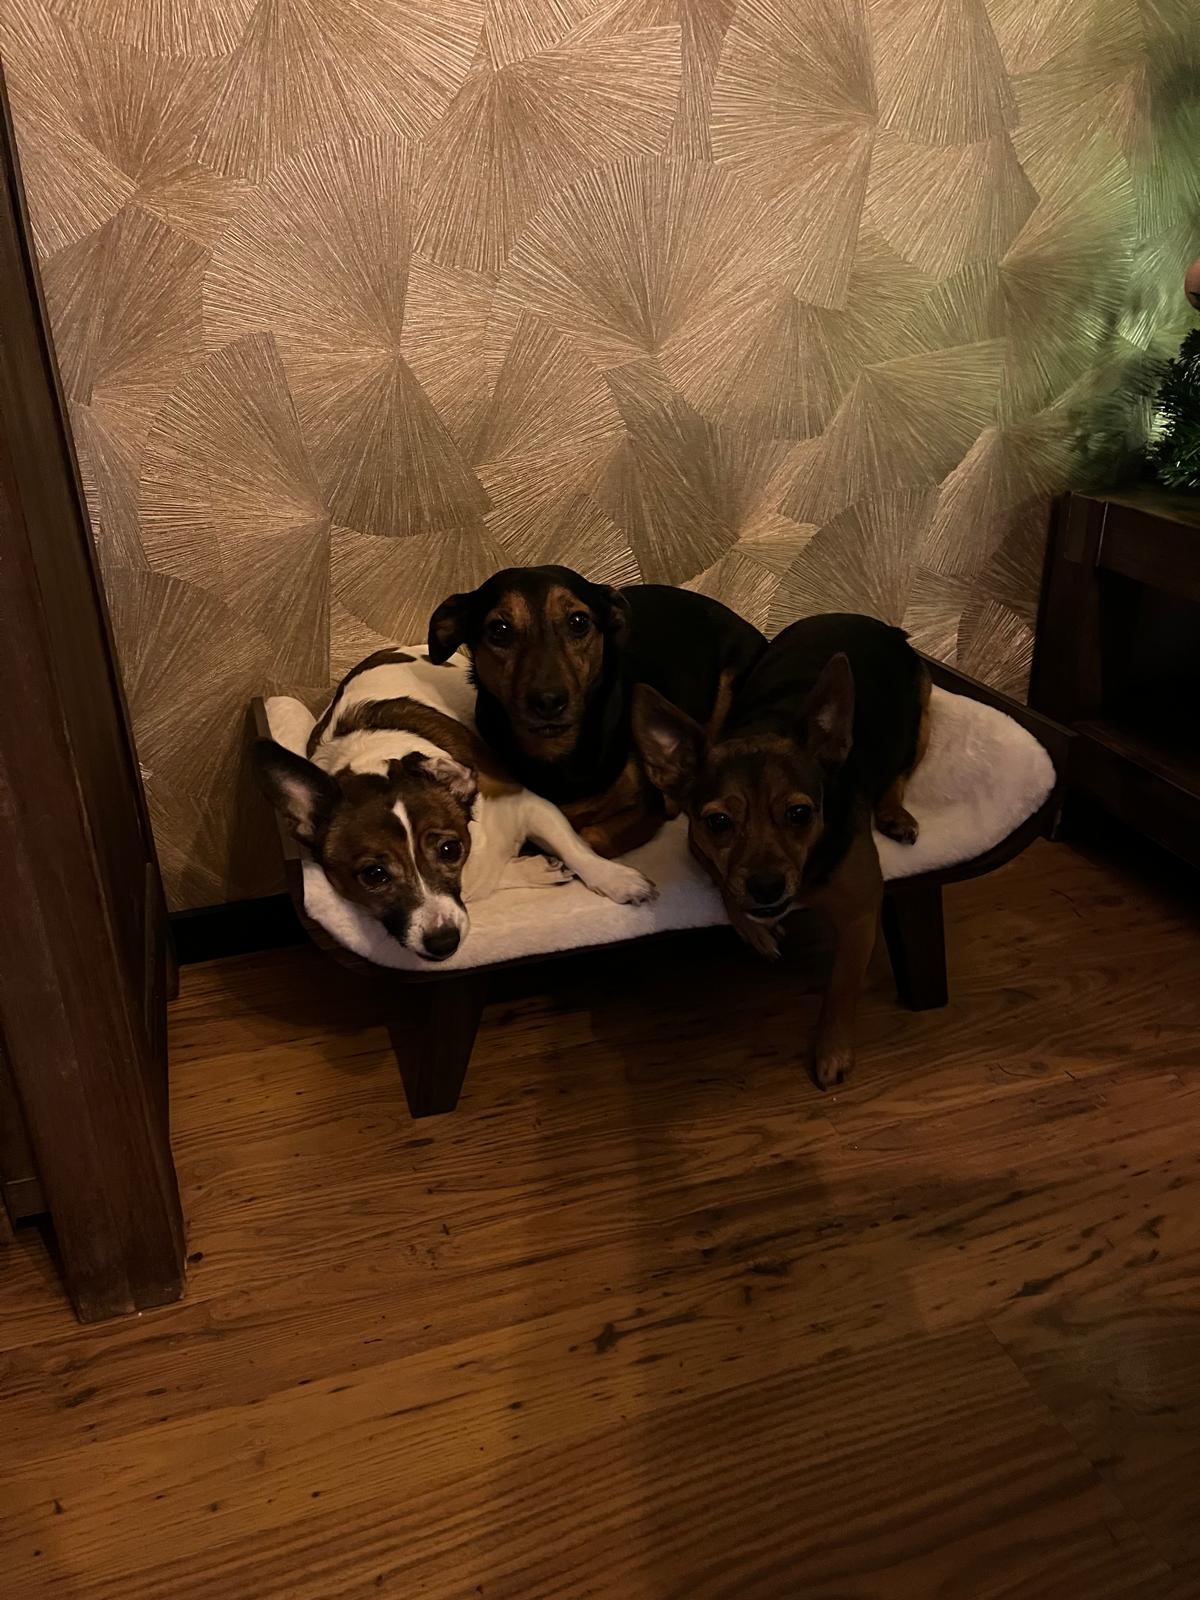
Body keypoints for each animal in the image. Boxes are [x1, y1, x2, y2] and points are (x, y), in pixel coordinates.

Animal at [254, 647, 656, 963]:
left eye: (450, 850)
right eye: (373, 875)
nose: (443, 942)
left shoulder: (526, 803)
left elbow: (574, 847)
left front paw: (615, 878)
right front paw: (532, 869)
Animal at [427, 567, 766, 857]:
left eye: (578, 622)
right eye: (499, 629)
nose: (548, 701)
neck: (557, 753)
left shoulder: (645, 808)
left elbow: (590, 837)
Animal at [631, 614, 930, 1088]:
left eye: (800, 813)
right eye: (718, 822)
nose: (767, 887)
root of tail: (878, 623)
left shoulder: (861, 912)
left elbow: (840, 989)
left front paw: (832, 1052)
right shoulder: (698, 845)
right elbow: (726, 886)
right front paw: (755, 929)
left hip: (923, 709)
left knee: (901, 769)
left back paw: (893, 812)